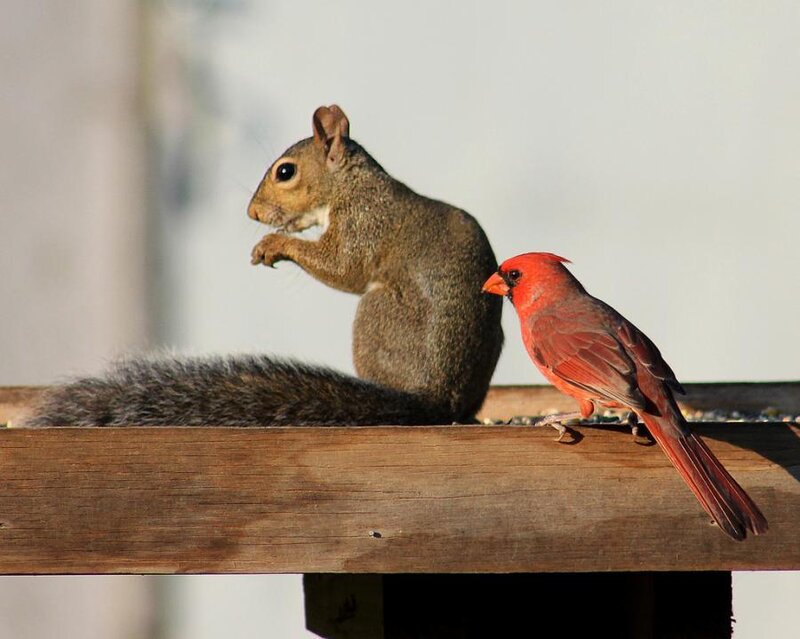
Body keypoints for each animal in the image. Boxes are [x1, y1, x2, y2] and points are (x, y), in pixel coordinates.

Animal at [26, 105, 504, 427]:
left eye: (285, 172)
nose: (253, 213)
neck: (352, 185)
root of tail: (436, 400)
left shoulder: (363, 223)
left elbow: (344, 268)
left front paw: (274, 244)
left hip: (374, 314)